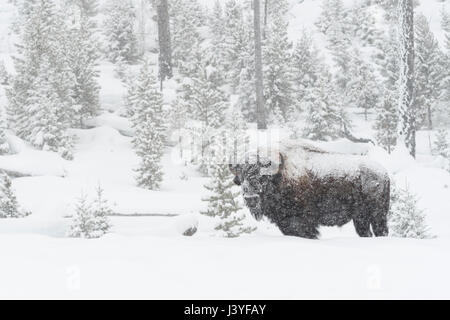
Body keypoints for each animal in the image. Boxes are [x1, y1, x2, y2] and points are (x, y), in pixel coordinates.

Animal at [230, 141, 388, 239]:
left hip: (377, 215)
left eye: (263, 177)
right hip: (361, 218)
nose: (250, 198)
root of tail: (383, 173)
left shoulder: (300, 222)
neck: (280, 175)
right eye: (242, 177)